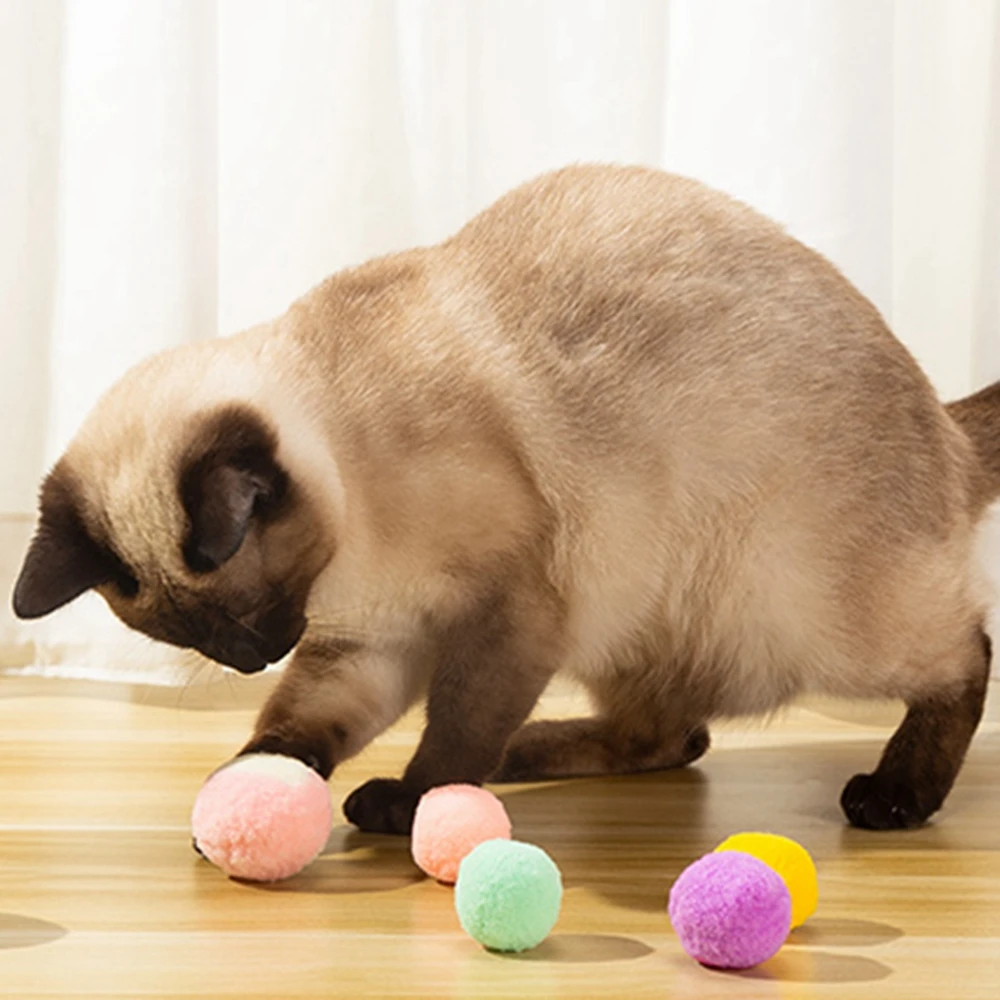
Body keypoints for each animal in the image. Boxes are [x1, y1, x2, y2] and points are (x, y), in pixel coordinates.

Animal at [9, 166, 1000, 836]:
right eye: (192, 637)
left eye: (246, 609)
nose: (256, 655)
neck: (355, 560)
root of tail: (943, 429)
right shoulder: (367, 641)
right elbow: (304, 722)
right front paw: (256, 780)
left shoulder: (504, 613)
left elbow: (456, 726)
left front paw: (410, 803)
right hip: (639, 615)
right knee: (671, 737)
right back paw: (526, 756)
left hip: (802, 607)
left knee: (964, 654)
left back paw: (895, 796)